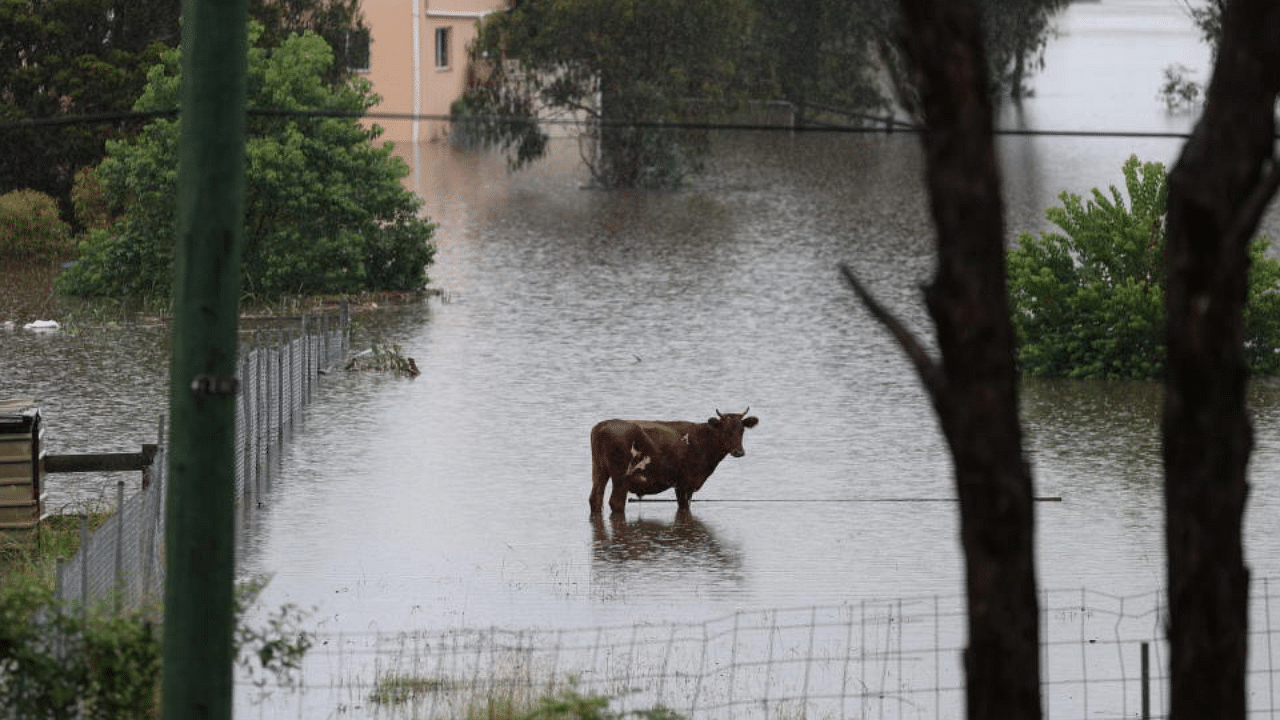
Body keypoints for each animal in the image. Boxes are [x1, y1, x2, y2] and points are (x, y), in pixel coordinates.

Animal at [591, 407, 757, 512]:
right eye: (726, 430)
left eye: (742, 430)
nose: (739, 451)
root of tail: (603, 425)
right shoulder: (686, 483)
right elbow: (684, 507)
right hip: (621, 478)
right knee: (616, 502)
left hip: (599, 471)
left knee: (595, 500)